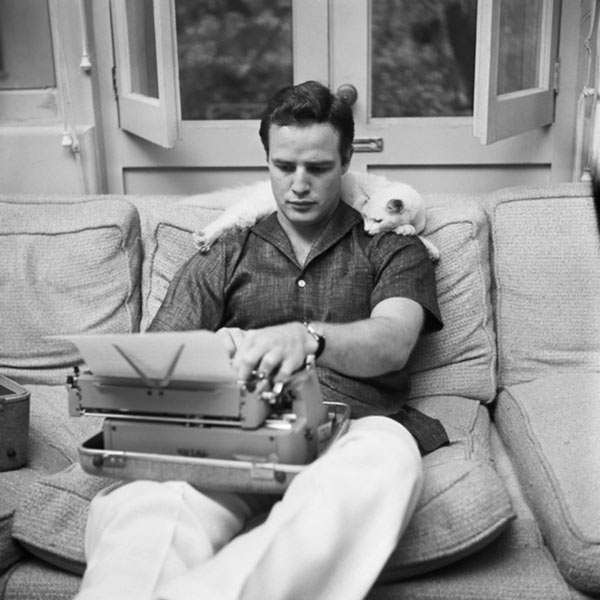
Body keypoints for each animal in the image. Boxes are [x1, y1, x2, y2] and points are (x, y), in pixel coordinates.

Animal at [186, 170, 440, 262]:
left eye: (376, 220)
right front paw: (408, 231)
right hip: (257, 207)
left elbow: (420, 235)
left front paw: (427, 246)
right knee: (228, 217)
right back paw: (205, 238)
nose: (367, 231)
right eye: (367, 219)